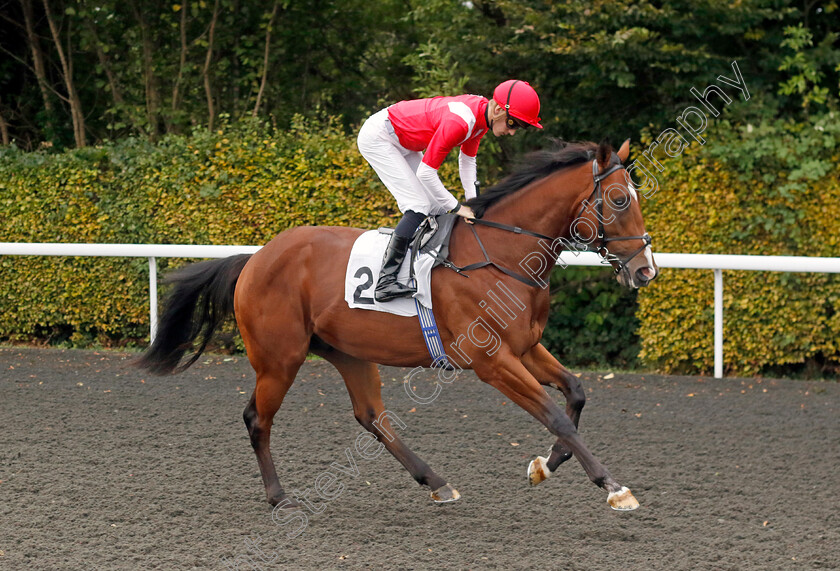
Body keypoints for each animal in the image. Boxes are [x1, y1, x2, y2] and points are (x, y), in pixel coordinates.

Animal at [136, 140, 656, 512]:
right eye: (617, 199)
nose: (645, 270)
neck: (502, 254)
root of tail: (256, 258)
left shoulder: (526, 348)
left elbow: (575, 393)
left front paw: (545, 464)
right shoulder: (492, 361)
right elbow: (554, 414)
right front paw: (614, 487)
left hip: (348, 352)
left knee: (372, 417)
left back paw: (437, 482)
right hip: (279, 359)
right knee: (257, 419)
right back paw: (280, 496)